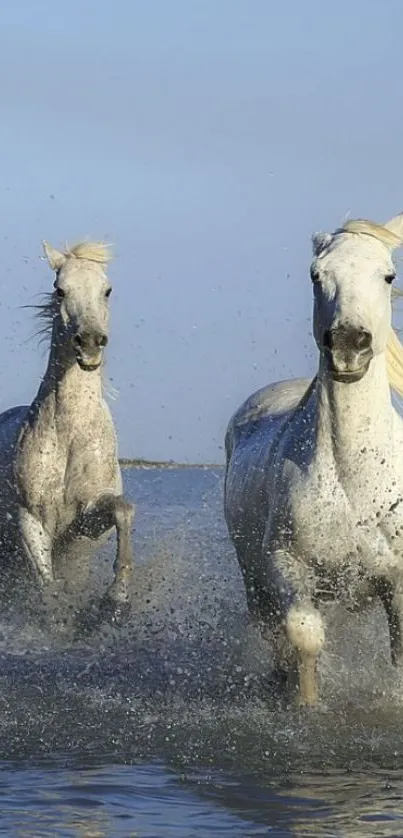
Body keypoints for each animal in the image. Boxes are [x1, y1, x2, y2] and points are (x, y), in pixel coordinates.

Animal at [0, 241, 134, 624]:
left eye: (107, 289)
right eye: (60, 289)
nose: (89, 342)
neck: (71, 433)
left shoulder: (86, 520)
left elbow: (124, 509)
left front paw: (117, 598)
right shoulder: (29, 518)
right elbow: (46, 584)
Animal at [226, 212, 403, 708]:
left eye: (388, 275)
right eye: (315, 274)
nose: (348, 344)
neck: (353, 478)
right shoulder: (287, 564)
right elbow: (304, 639)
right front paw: (305, 707)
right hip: (254, 576)